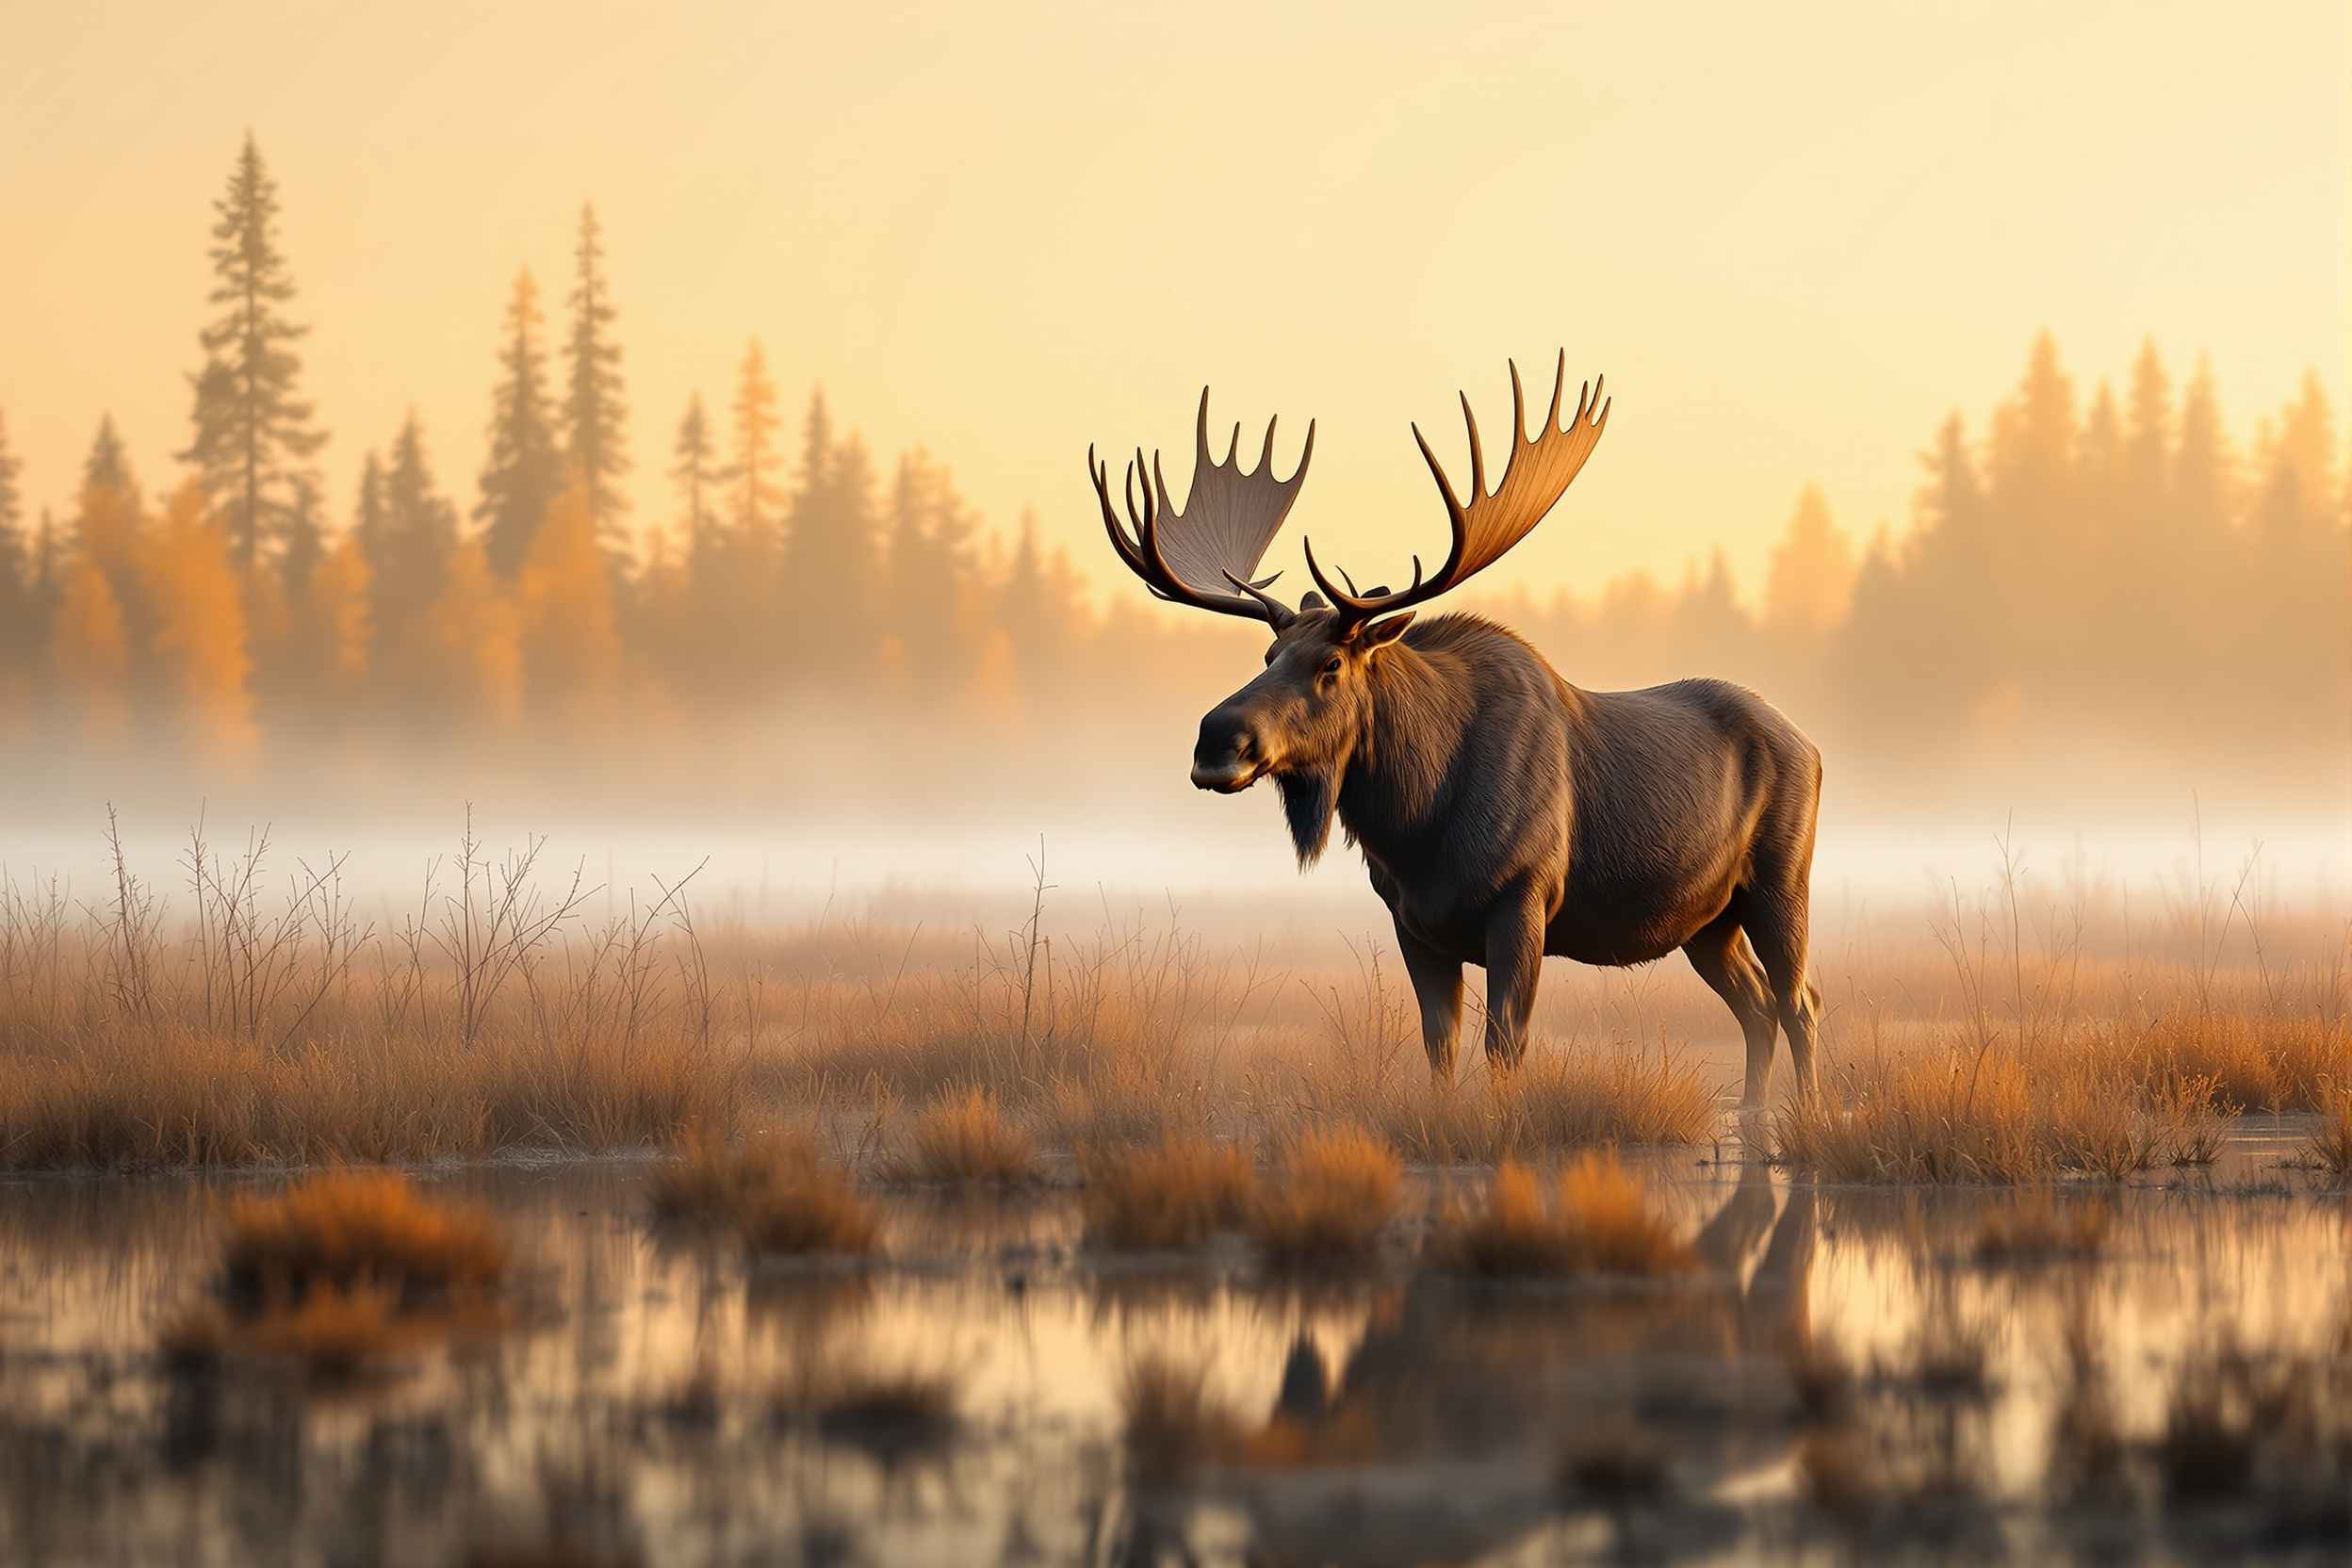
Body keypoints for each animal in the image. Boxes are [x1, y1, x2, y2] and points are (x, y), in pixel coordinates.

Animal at [1088, 353, 1823, 1106]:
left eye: (1330, 664)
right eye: (1268, 656)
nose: (1216, 741)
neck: (1418, 823)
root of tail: (1812, 746)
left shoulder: (1524, 896)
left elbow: (1505, 1043)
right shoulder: (1411, 919)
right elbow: (1439, 1043)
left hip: (1780, 880)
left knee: (1799, 1000)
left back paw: (1807, 1111)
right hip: (1707, 919)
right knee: (1757, 1006)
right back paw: (1754, 1112)